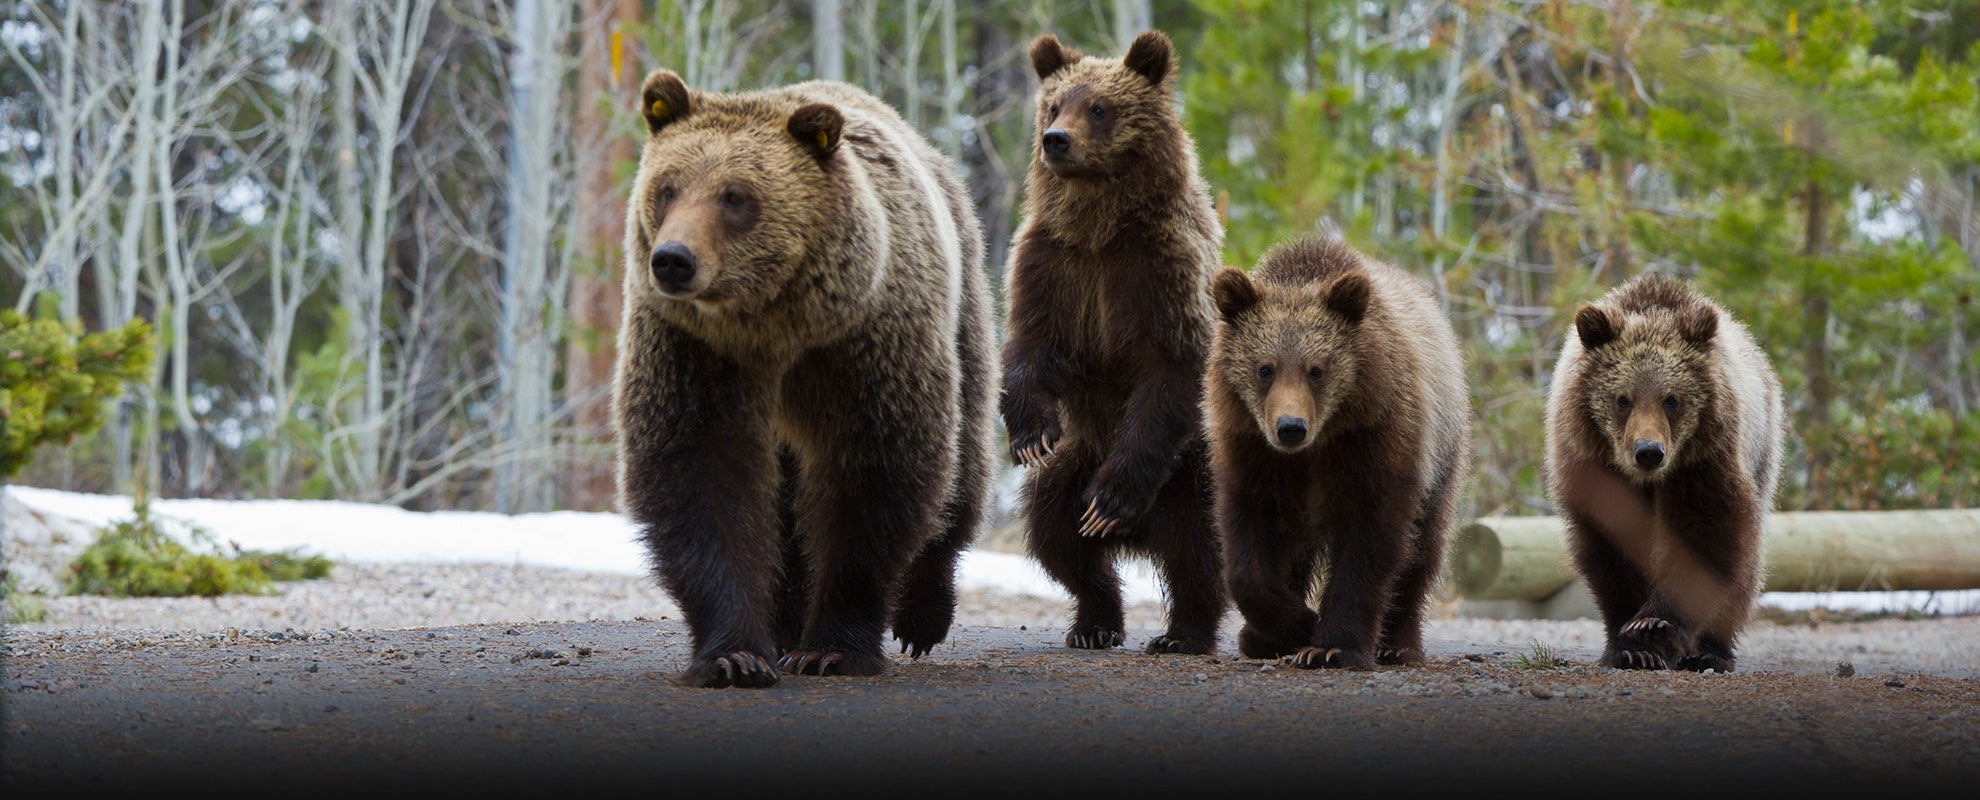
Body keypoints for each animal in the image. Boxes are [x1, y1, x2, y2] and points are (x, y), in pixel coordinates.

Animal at [613, 70, 997, 689]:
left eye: (735, 196)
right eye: (667, 188)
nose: (673, 259)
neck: (776, 326)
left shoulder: (864, 343)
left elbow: (874, 470)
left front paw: (834, 649)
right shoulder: (695, 349)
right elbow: (701, 471)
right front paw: (734, 655)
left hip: (962, 309)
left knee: (964, 461)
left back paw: (923, 613)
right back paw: (786, 624)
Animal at [997, 31, 1227, 657]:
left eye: (1099, 107)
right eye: (1055, 104)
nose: (1056, 140)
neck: (1100, 230)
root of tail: (1141, 536)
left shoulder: (1162, 271)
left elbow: (1170, 369)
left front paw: (1110, 502)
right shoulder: (1052, 264)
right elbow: (1031, 346)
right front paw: (1030, 432)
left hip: (1192, 470)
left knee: (1197, 547)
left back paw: (1182, 632)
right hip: (1076, 461)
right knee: (1057, 536)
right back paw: (1094, 622)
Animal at [1203, 235, 1473, 669]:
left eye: (1317, 369)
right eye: (1265, 368)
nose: (1290, 427)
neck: (1317, 446)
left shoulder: (1375, 438)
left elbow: (1369, 540)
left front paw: (1330, 645)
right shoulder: (1253, 450)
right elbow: (1247, 545)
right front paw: (1293, 623)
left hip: (1443, 454)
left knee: (1424, 548)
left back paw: (1398, 643)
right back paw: (1260, 638)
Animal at [1544, 271, 1797, 673]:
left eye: (1671, 399)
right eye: (1623, 399)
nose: (1649, 452)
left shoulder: (1702, 462)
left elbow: (1704, 533)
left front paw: (1654, 625)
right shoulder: (1595, 467)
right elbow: (1611, 543)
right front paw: (1630, 647)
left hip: (1761, 451)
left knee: (1746, 564)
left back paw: (1710, 651)